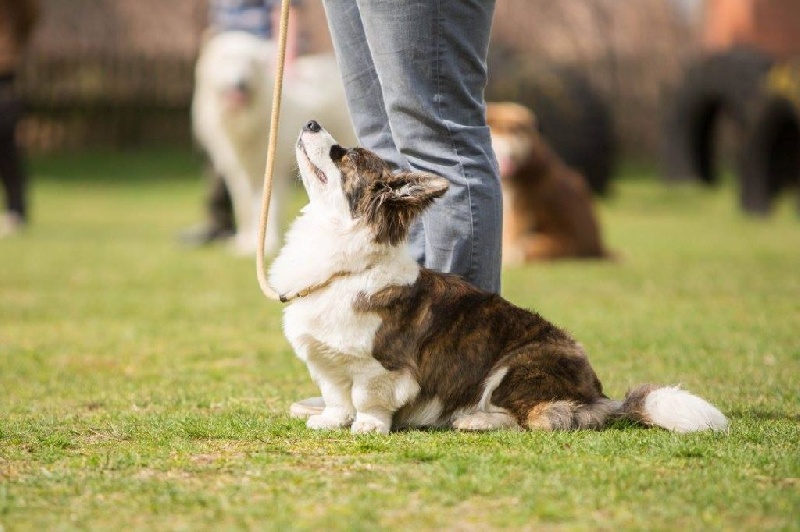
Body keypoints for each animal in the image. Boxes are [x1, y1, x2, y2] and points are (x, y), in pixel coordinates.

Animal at [266, 121, 728, 436]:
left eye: (345, 155)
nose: (311, 123)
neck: (344, 262)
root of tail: (598, 397)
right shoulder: (326, 361)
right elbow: (336, 395)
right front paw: (331, 421)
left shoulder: (382, 367)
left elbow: (367, 397)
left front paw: (368, 427)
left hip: (514, 367)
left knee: (541, 418)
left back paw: (475, 420)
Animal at [484, 102, 608, 264]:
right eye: (502, 133)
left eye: (516, 134)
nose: (511, 154)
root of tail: (598, 250)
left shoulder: (521, 207)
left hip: (542, 243)